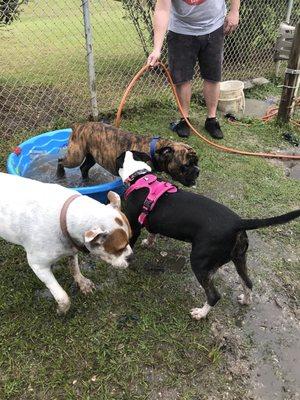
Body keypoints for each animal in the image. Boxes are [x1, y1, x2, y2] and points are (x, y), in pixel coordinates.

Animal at [0, 172, 132, 316]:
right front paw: (62, 310)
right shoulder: (39, 266)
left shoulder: (72, 248)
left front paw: (82, 282)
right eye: (119, 249)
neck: (64, 218)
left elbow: (74, 268)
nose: (131, 256)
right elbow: (63, 296)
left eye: (130, 239)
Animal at [56, 121, 199, 187]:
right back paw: (60, 174)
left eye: (197, 162)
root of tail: (79, 125)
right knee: (61, 161)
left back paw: (86, 181)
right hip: (75, 156)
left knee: (84, 168)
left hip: (92, 157)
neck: (153, 149)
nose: (198, 170)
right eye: (186, 165)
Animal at [117, 152, 300, 320]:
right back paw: (246, 300)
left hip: (200, 263)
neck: (139, 175)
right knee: (248, 282)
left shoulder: (134, 225)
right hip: (239, 258)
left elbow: (130, 244)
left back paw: (200, 313)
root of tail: (238, 222)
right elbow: (152, 233)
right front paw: (149, 243)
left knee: (214, 295)